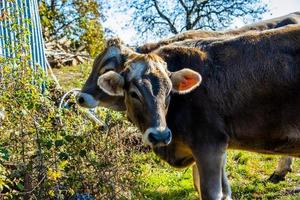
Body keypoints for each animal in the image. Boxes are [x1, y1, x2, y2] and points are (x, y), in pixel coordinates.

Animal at [97, 24, 300, 199]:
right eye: (133, 93)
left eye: (170, 92)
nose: (160, 135)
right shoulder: (220, 149)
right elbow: (224, 192)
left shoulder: (209, 145)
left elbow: (211, 193)